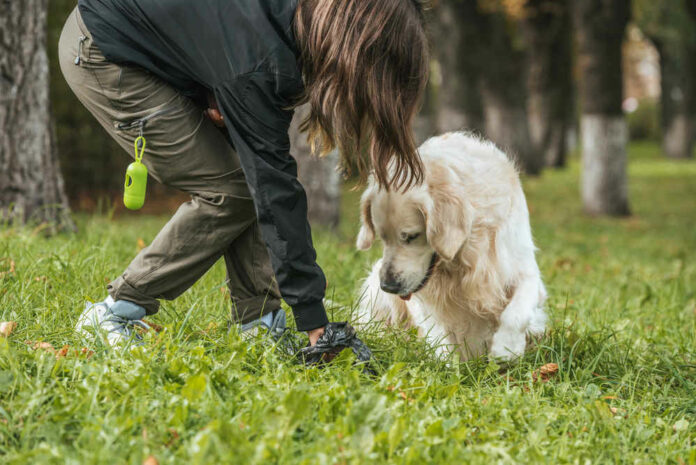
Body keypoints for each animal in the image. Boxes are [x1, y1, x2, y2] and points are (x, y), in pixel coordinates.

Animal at [356, 132, 548, 360]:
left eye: (411, 236)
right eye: (383, 238)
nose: (388, 286)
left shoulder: (522, 268)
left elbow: (517, 312)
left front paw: (506, 349)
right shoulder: (423, 298)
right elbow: (438, 334)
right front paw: (444, 364)